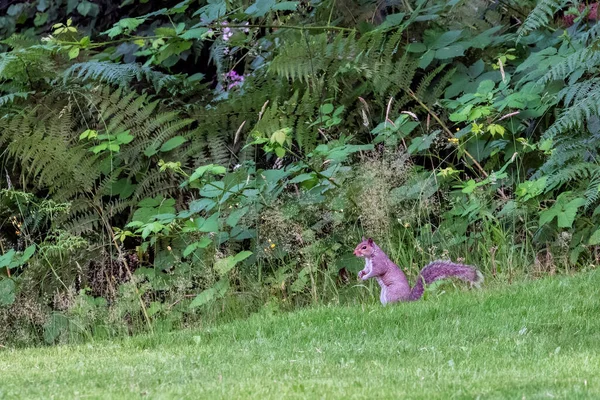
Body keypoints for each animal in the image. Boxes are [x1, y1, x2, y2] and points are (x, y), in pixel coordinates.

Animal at [352, 236, 482, 304]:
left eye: (364, 247)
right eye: (358, 245)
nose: (354, 253)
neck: (370, 257)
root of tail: (407, 299)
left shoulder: (379, 264)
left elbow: (375, 272)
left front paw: (365, 277)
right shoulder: (368, 265)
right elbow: (366, 269)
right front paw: (360, 273)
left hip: (391, 292)